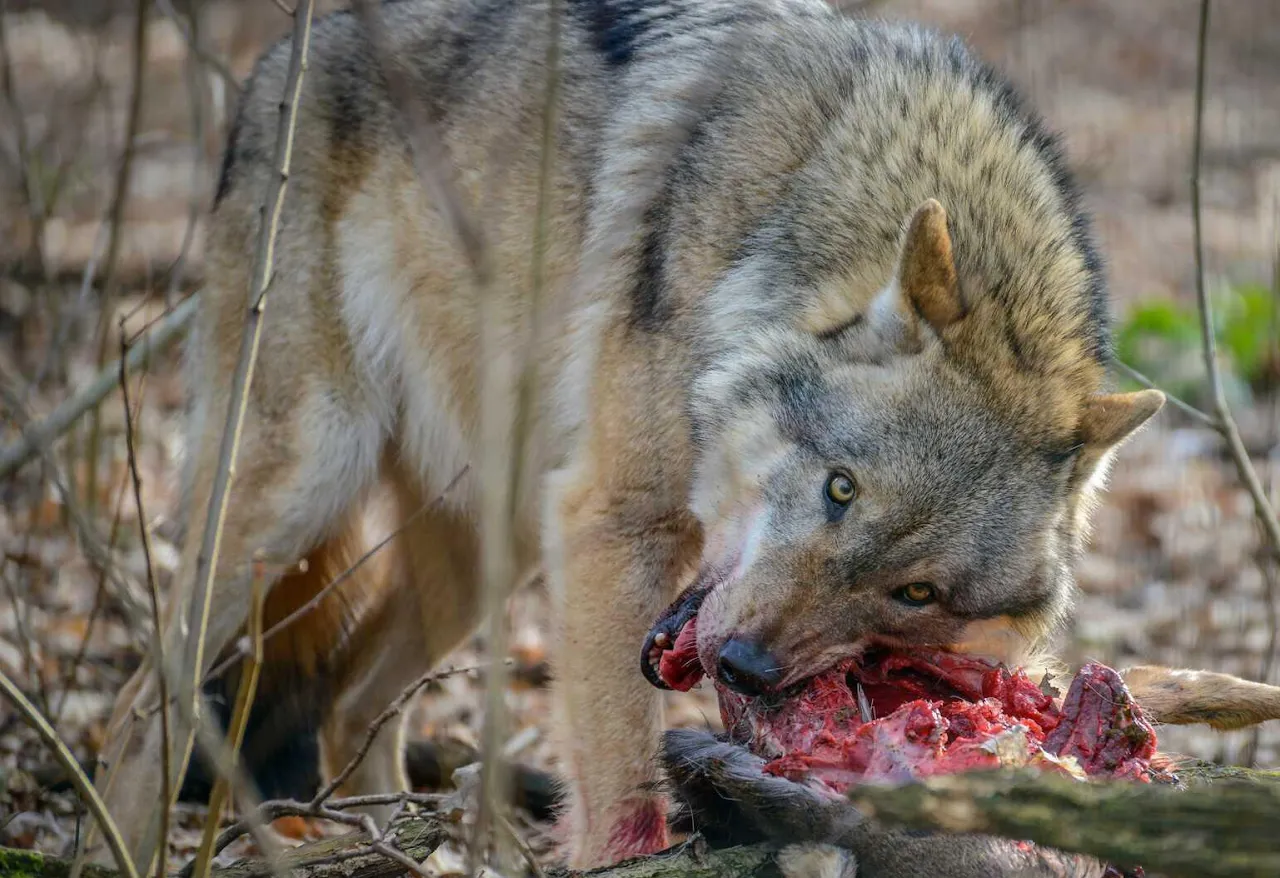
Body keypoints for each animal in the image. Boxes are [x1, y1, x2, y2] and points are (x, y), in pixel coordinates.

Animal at [90, 0, 1166, 871]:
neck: (785, 230)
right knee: (144, 703)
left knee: (350, 703)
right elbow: (617, 797)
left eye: (918, 593)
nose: (746, 669)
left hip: (492, 549)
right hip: (296, 494)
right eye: (840, 488)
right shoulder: (613, 526)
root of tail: (286, 51)